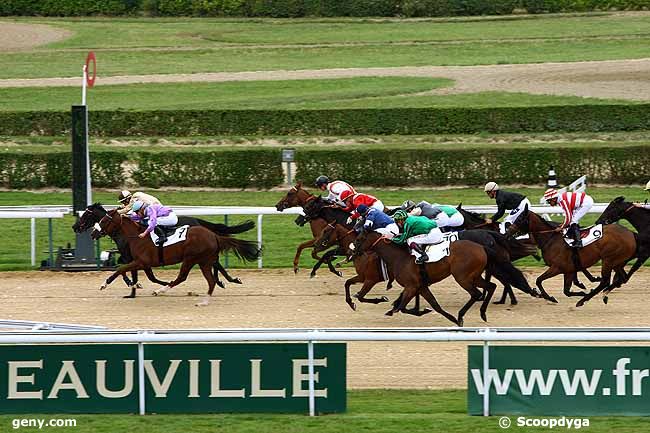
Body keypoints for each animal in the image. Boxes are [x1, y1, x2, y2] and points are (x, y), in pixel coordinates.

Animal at [72, 202, 252, 296]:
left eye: (86, 215)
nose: (75, 227)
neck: (133, 235)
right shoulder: (139, 261)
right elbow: (137, 274)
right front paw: (135, 287)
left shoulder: (134, 259)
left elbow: (122, 269)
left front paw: (127, 288)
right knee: (215, 264)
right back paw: (224, 280)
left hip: (191, 258)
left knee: (207, 267)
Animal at [504, 204, 636, 306]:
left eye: (519, 219)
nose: (507, 232)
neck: (551, 239)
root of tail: (631, 234)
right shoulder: (569, 270)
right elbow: (566, 291)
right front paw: (581, 290)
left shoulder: (557, 267)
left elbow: (539, 280)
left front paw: (550, 297)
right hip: (617, 262)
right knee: (622, 278)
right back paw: (602, 294)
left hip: (608, 260)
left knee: (605, 281)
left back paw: (583, 300)